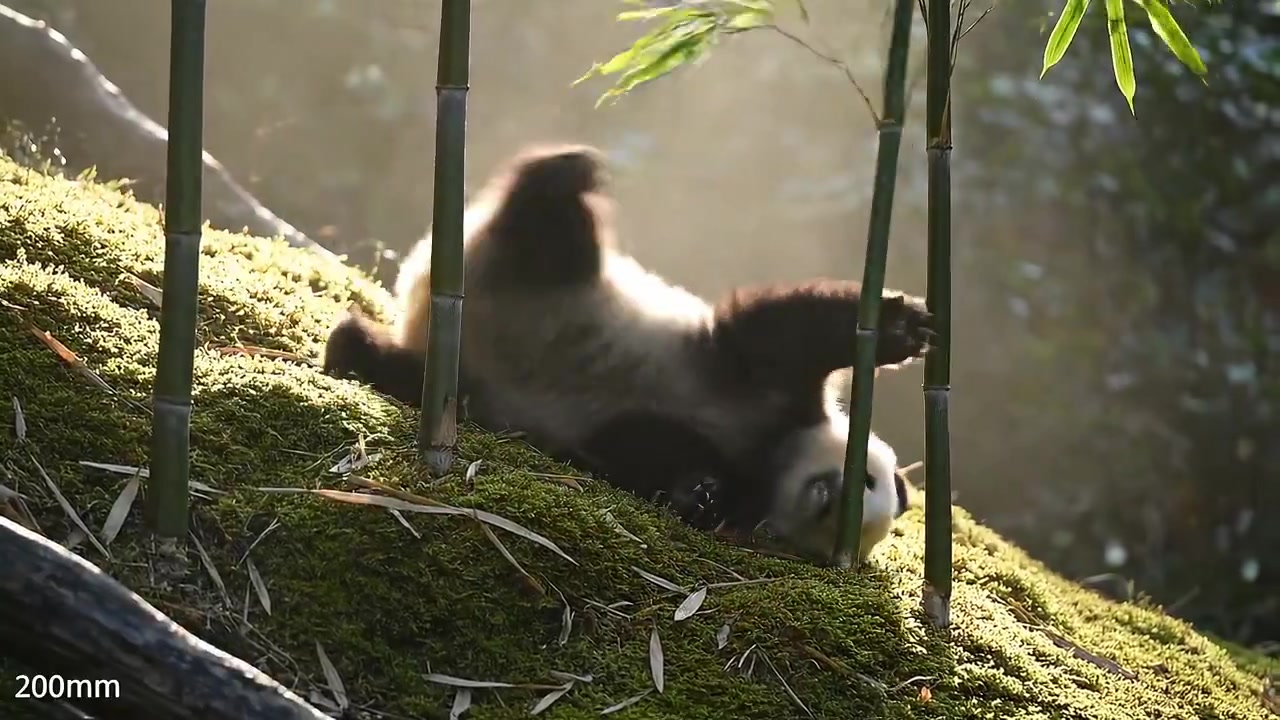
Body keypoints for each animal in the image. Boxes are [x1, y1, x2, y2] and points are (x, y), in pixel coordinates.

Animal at [323, 142, 933, 562]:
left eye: (844, 526)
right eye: (868, 482)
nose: (829, 497)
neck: (772, 452)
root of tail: (423, 293)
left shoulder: (704, 456)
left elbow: (641, 452)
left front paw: (700, 494)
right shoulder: (753, 376)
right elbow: (791, 332)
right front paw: (904, 329)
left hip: (463, 377)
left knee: (410, 370)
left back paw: (349, 348)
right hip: (548, 276)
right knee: (552, 224)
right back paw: (570, 170)